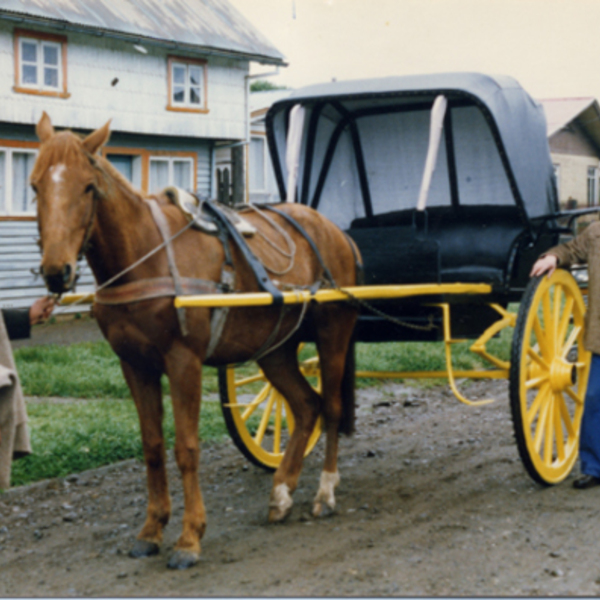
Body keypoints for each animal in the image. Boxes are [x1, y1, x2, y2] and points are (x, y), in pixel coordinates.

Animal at [32, 111, 358, 568]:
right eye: (35, 185)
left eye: (88, 187)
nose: (55, 271)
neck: (145, 254)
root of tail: (334, 230)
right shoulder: (134, 364)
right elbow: (152, 445)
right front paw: (152, 530)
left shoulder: (182, 360)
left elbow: (186, 447)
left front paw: (190, 537)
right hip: (274, 349)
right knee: (305, 405)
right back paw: (281, 492)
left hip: (334, 334)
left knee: (329, 406)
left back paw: (325, 491)